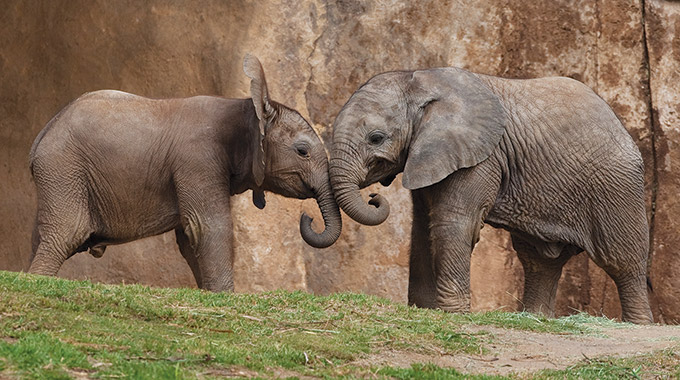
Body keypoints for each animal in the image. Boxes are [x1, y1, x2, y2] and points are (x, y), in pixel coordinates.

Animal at [29, 54, 340, 290]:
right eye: (302, 151)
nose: (307, 217)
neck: (245, 108)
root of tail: (44, 132)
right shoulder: (198, 158)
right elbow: (208, 227)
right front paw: (224, 296)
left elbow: (190, 238)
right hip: (63, 168)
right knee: (65, 235)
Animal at [330, 67, 652, 322]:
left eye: (376, 138)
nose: (374, 197)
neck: (421, 80)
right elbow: (422, 228)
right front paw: (424, 310)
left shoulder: (481, 157)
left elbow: (452, 224)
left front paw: (452, 315)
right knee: (539, 260)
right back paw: (534, 319)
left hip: (616, 186)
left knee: (623, 259)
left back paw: (637, 326)